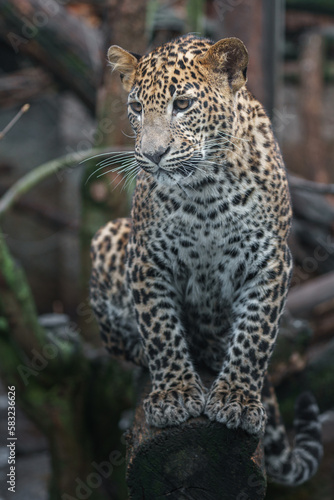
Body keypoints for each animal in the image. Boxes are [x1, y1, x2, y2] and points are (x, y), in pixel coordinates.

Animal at [90, 34, 322, 484]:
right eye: (137, 108)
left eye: (182, 104)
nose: (153, 155)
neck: (206, 190)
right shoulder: (146, 258)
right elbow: (160, 330)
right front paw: (175, 394)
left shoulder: (270, 261)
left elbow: (255, 335)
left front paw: (237, 400)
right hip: (106, 237)